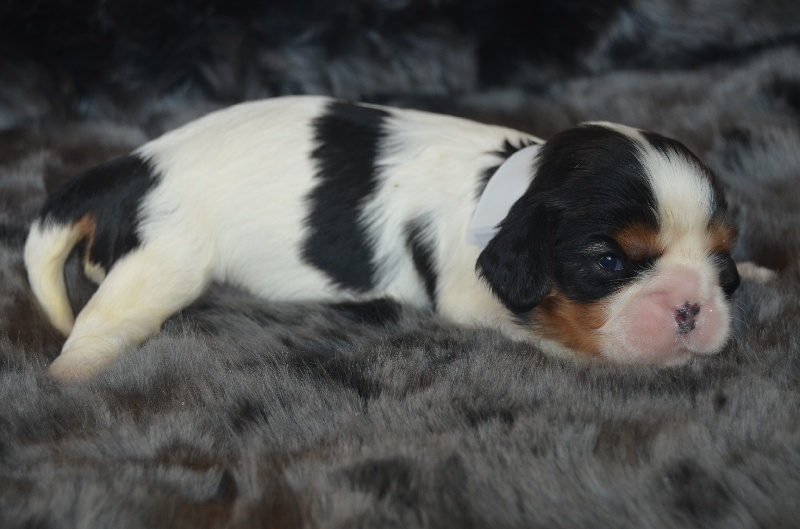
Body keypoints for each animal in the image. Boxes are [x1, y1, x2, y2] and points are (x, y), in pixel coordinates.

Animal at [25, 95, 742, 380]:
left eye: (721, 260)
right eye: (609, 260)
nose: (692, 306)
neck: (508, 184)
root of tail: (134, 165)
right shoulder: (471, 299)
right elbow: (543, 333)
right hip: (165, 259)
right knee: (105, 318)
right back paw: (71, 373)